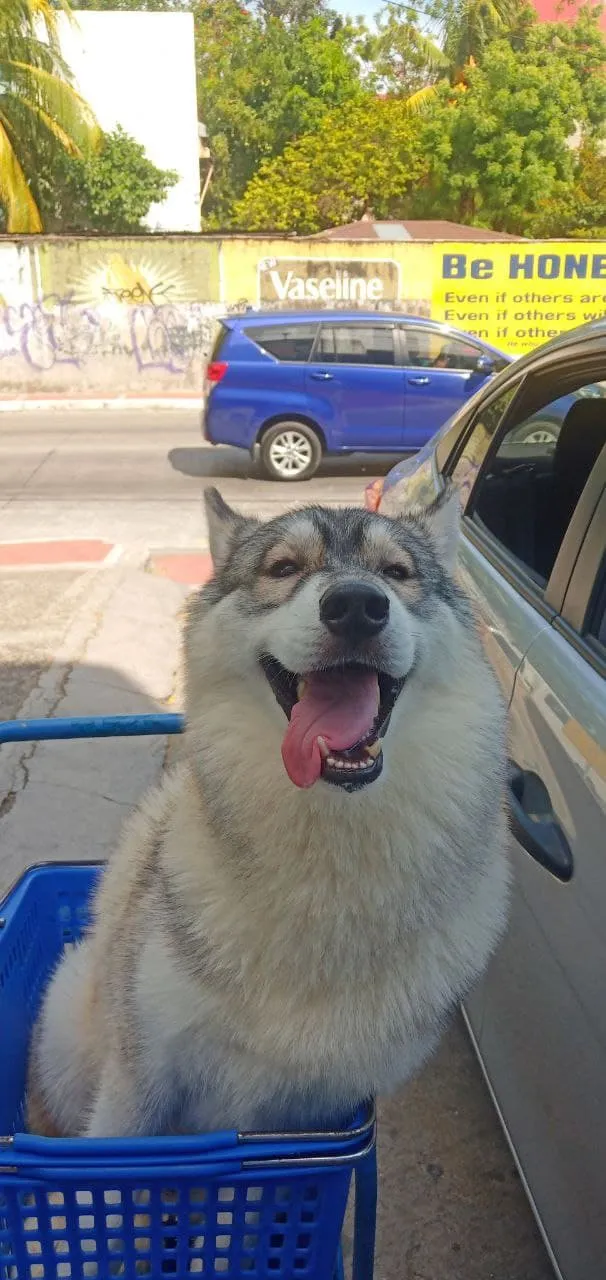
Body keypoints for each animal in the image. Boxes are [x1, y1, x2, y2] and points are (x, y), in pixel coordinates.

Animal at [29, 483, 509, 1136]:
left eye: (396, 572)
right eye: (283, 568)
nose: (357, 606)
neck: (329, 863)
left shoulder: (317, 1114)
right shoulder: (134, 1087)